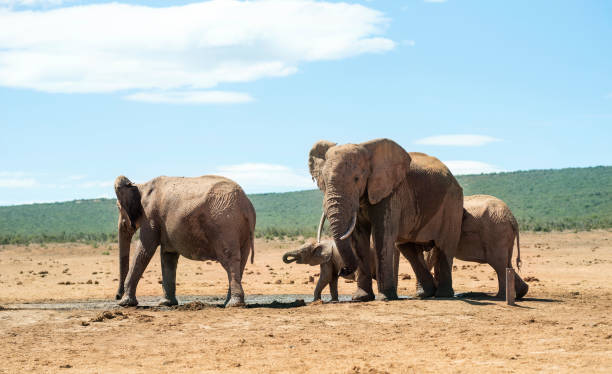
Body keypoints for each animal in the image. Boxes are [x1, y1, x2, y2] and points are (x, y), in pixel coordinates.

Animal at [113, 175, 255, 306]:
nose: (117, 296)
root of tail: (246, 205)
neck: (139, 186)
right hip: (240, 228)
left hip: (225, 223)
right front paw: (166, 303)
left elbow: (145, 249)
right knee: (241, 261)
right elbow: (168, 255)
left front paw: (125, 303)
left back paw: (233, 304)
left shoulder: (150, 216)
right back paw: (228, 303)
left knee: (229, 259)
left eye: (119, 208)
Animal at [310, 138, 464, 300]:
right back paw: (427, 294)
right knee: (409, 250)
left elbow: (382, 234)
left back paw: (443, 294)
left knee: (445, 246)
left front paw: (385, 297)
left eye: (357, 179)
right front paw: (361, 297)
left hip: (452, 205)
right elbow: (359, 237)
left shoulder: (390, 193)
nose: (343, 270)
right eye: (324, 181)